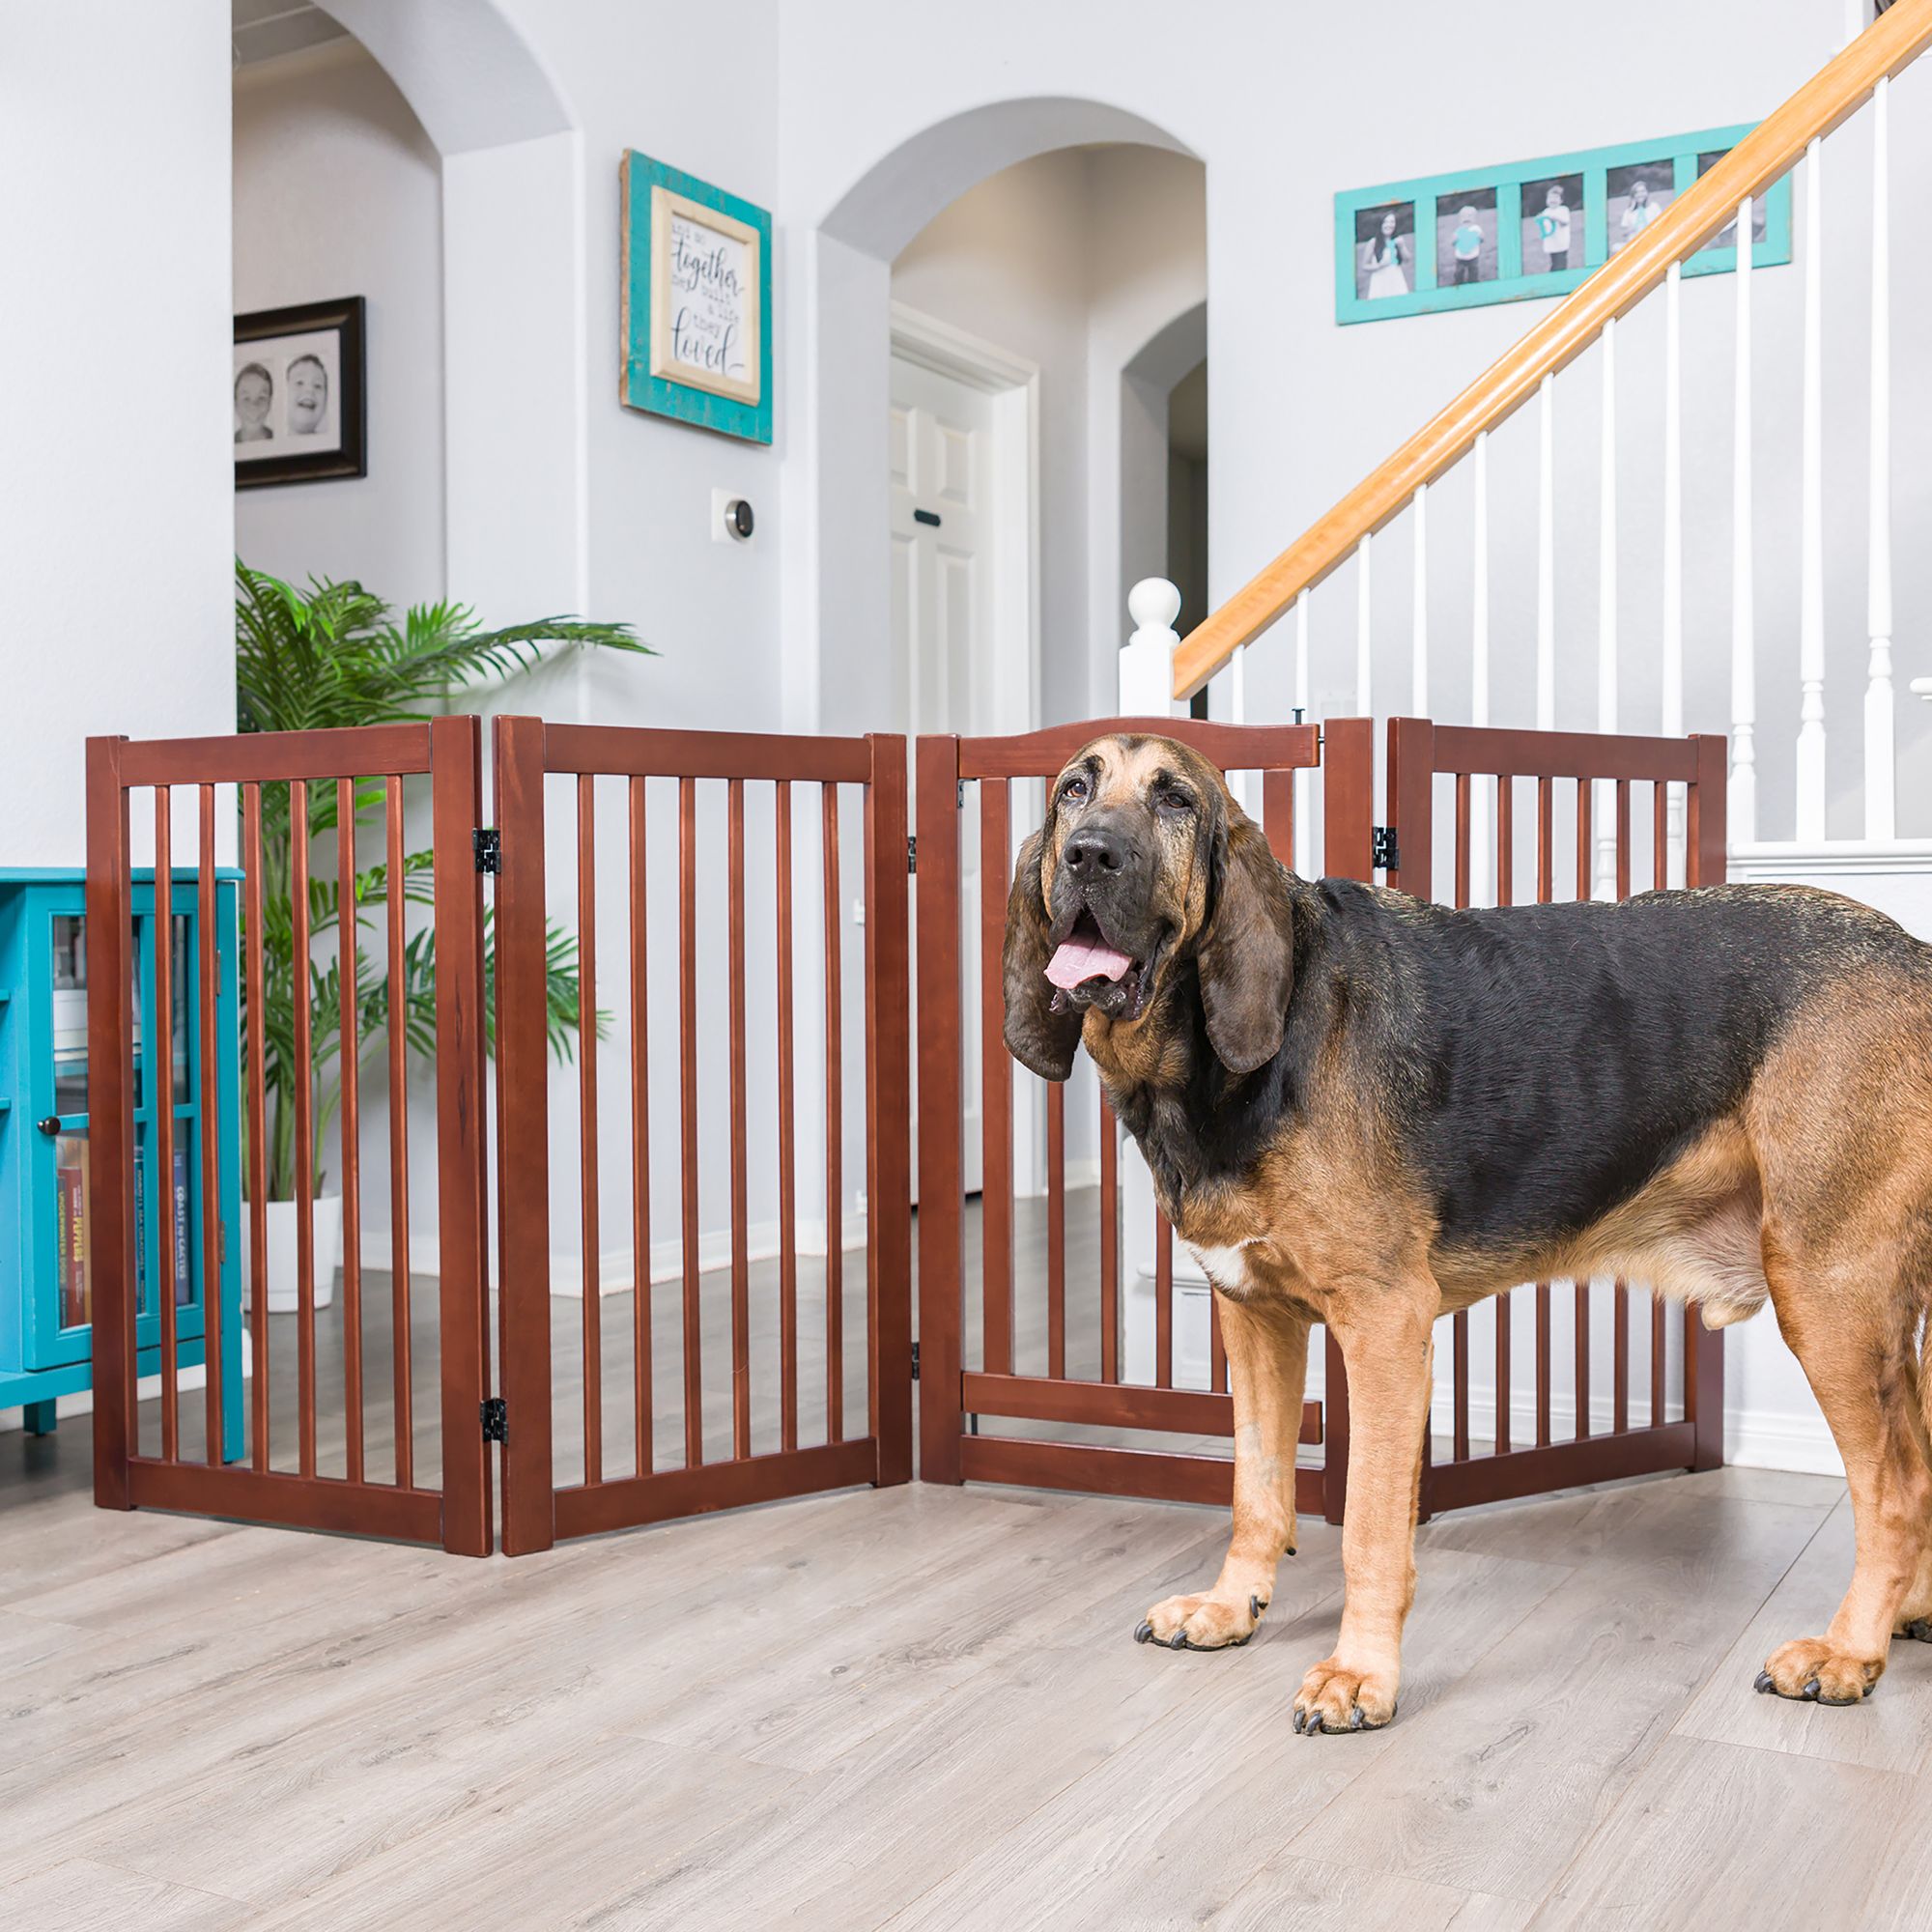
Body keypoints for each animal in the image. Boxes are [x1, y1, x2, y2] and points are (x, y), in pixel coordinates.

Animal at [1005, 726, 1932, 1739]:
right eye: (1072, 789)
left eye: (1175, 800)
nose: (1089, 854)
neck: (1209, 1068)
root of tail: (1916, 956)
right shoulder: (1254, 1319)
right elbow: (1256, 1489)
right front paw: (1229, 1607)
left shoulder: (1384, 1327)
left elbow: (1371, 1527)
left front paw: (1360, 1675)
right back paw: (1906, 1619)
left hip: (1828, 1297)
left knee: (1894, 1494)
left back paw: (1849, 1653)